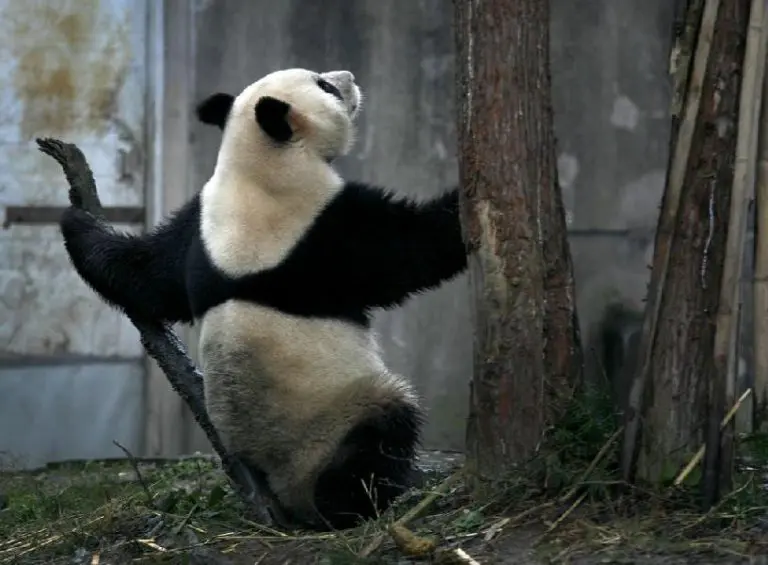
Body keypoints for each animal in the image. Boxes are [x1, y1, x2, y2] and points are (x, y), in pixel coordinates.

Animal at [56, 68, 469, 530]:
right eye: (324, 86)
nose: (348, 77)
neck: (254, 169)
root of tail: (286, 493)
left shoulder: (198, 232)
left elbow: (147, 275)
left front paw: (79, 224)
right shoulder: (323, 229)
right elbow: (414, 250)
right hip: (333, 421)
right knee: (381, 431)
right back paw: (358, 503)